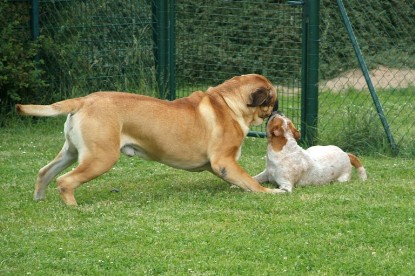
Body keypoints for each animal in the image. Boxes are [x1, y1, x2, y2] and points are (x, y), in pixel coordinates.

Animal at [17, 73, 282, 205]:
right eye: (272, 99)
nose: (278, 109)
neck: (228, 102)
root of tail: (84, 100)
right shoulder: (224, 162)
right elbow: (250, 181)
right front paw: (270, 193)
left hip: (72, 152)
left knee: (45, 172)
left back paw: (39, 199)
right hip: (100, 158)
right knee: (65, 180)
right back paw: (73, 207)